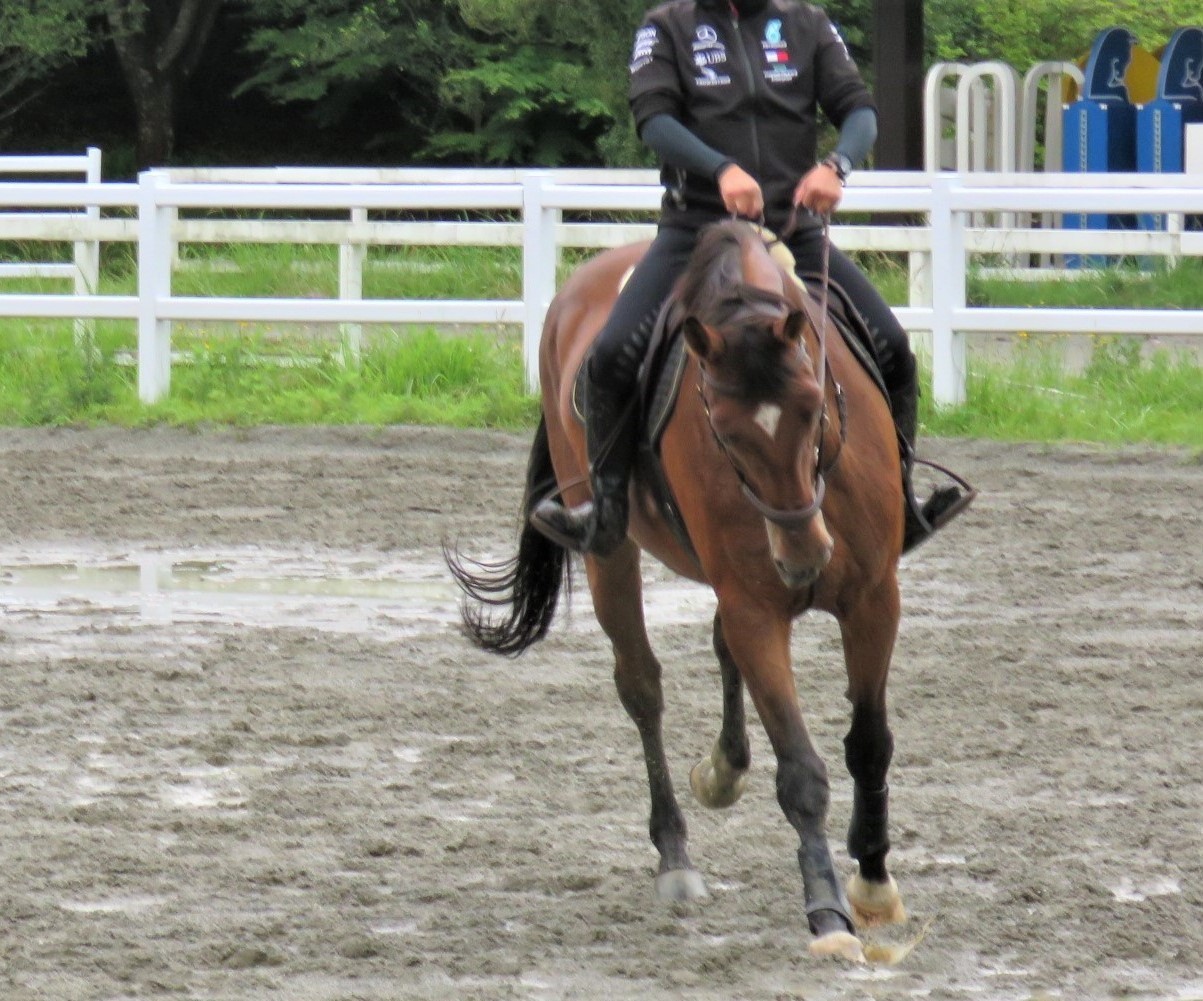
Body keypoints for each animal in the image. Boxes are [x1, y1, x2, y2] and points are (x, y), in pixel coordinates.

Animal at [447, 218, 904, 962]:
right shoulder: (756, 608)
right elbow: (800, 772)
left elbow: (867, 741)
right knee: (641, 685)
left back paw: (724, 769)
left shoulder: (872, 598)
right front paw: (828, 911)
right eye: (722, 428)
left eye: (814, 407)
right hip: (608, 551)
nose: (804, 555)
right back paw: (675, 854)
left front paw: (873, 881)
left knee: (717, 655)